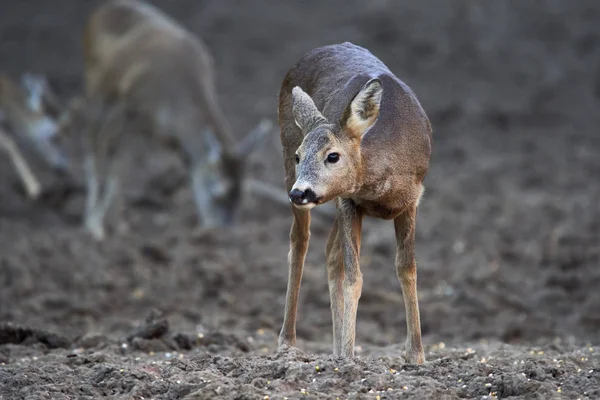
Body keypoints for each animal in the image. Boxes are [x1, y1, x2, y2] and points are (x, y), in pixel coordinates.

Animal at [67, 0, 272, 238]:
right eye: (218, 193)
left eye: (242, 195)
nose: (223, 230)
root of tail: (98, 12)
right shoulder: (129, 109)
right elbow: (112, 164)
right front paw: (95, 225)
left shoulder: (176, 139)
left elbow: (192, 175)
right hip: (95, 87)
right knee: (92, 143)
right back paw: (93, 220)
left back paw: (118, 222)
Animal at [276, 42, 432, 364]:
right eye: (300, 156)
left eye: (333, 155)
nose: (299, 193)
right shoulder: (349, 201)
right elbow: (354, 276)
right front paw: (349, 357)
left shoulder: (412, 199)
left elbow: (407, 269)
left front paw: (416, 355)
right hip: (288, 160)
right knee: (300, 242)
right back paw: (288, 343)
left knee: (330, 251)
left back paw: (334, 348)